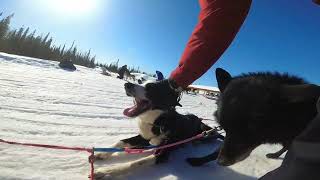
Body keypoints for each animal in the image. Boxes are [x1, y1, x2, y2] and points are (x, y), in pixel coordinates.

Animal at [91, 82, 224, 179]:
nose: (127, 84)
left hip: (205, 134)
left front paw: (107, 171)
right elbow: (121, 141)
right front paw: (100, 154)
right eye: (141, 82)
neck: (159, 122)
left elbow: (135, 163)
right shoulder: (144, 137)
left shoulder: (162, 154)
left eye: (151, 87)